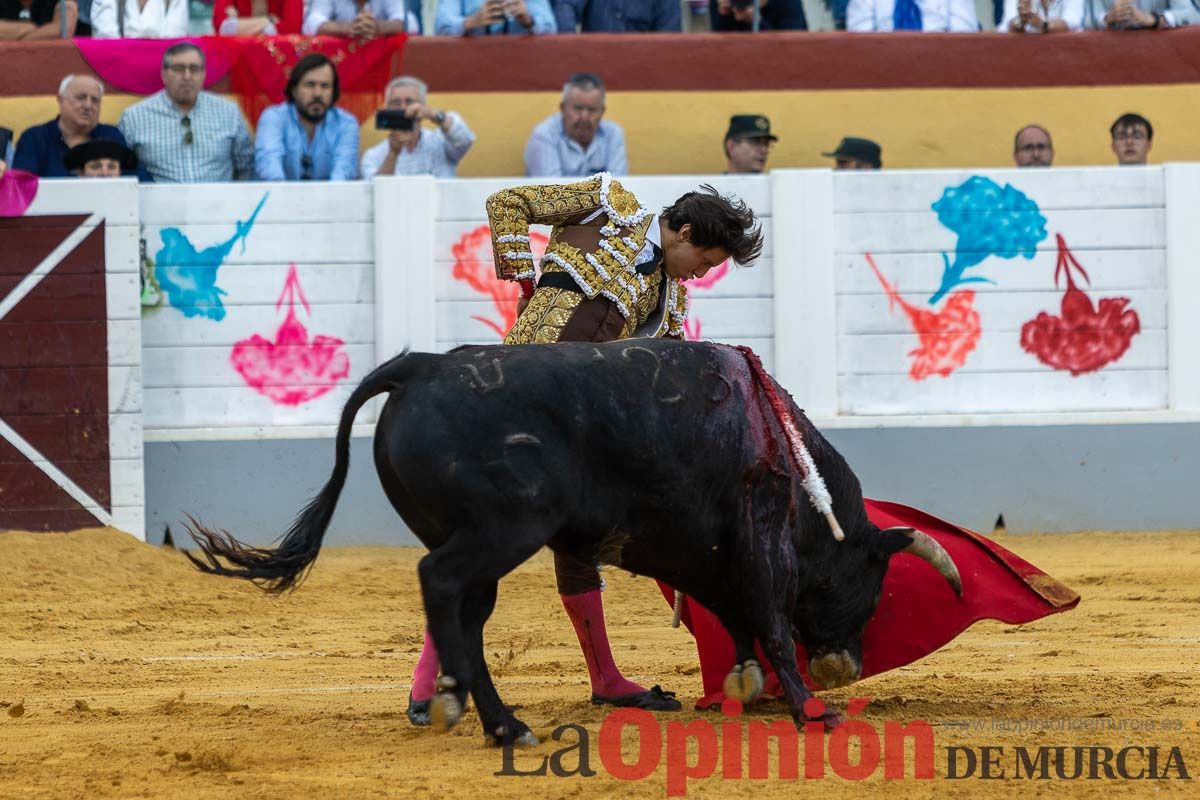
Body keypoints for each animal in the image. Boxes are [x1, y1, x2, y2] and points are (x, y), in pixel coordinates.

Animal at [189, 340, 955, 748]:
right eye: (871, 582)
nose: (845, 667)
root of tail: (424, 366)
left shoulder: (698, 543)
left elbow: (734, 606)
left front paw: (743, 679)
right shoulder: (760, 528)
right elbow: (768, 611)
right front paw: (810, 709)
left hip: (481, 539)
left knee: (465, 618)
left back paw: (493, 719)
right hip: (505, 529)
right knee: (440, 583)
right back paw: (474, 712)